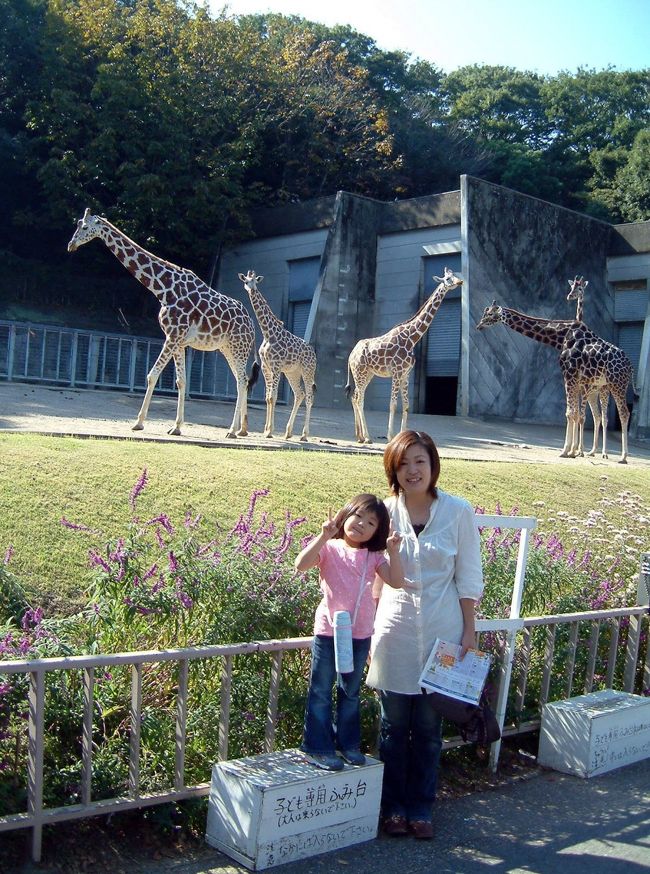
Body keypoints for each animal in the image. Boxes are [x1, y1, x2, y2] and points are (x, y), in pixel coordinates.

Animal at [67, 209, 256, 440]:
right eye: (77, 223)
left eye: (85, 227)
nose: (71, 245)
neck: (163, 289)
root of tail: (251, 325)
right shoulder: (178, 341)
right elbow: (181, 382)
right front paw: (176, 427)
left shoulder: (172, 336)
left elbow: (152, 375)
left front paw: (138, 423)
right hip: (226, 348)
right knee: (242, 381)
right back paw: (241, 429)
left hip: (239, 348)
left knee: (241, 381)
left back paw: (231, 431)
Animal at [239, 270, 318, 440]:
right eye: (246, 281)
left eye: (255, 281)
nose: (251, 289)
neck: (268, 333)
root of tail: (313, 353)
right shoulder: (266, 367)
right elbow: (268, 397)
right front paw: (266, 430)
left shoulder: (276, 366)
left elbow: (273, 396)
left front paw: (270, 431)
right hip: (292, 372)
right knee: (299, 394)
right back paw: (288, 432)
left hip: (307, 371)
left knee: (309, 396)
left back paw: (304, 435)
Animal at [344, 266, 460, 442]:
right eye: (447, 278)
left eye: (455, 275)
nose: (460, 282)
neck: (412, 338)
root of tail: (351, 354)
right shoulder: (397, 372)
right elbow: (393, 405)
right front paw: (390, 436)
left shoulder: (406, 374)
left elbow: (406, 405)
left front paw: (404, 434)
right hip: (360, 372)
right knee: (360, 399)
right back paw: (368, 437)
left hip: (367, 374)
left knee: (355, 396)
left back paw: (360, 436)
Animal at [474, 302, 632, 464]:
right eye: (485, 312)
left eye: (490, 314)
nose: (479, 325)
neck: (560, 337)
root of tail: (630, 366)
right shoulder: (576, 380)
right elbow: (576, 413)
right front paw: (573, 451)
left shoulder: (569, 375)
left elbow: (570, 413)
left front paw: (565, 451)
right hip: (610, 386)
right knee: (605, 415)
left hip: (615, 384)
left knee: (623, 413)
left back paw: (623, 456)